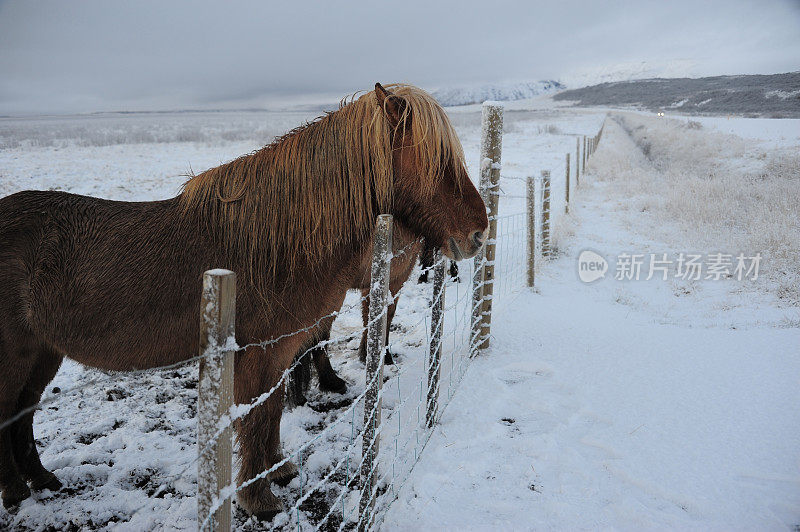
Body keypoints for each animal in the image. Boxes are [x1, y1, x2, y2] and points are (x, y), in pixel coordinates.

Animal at [0, 84, 488, 520]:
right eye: (437, 161)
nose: (478, 233)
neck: (276, 243)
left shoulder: (278, 352)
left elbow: (270, 412)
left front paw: (278, 472)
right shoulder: (258, 352)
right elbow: (254, 418)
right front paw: (259, 500)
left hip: (43, 354)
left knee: (20, 418)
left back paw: (41, 481)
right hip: (15, 358)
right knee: (7, 416)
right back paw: (15, 493)